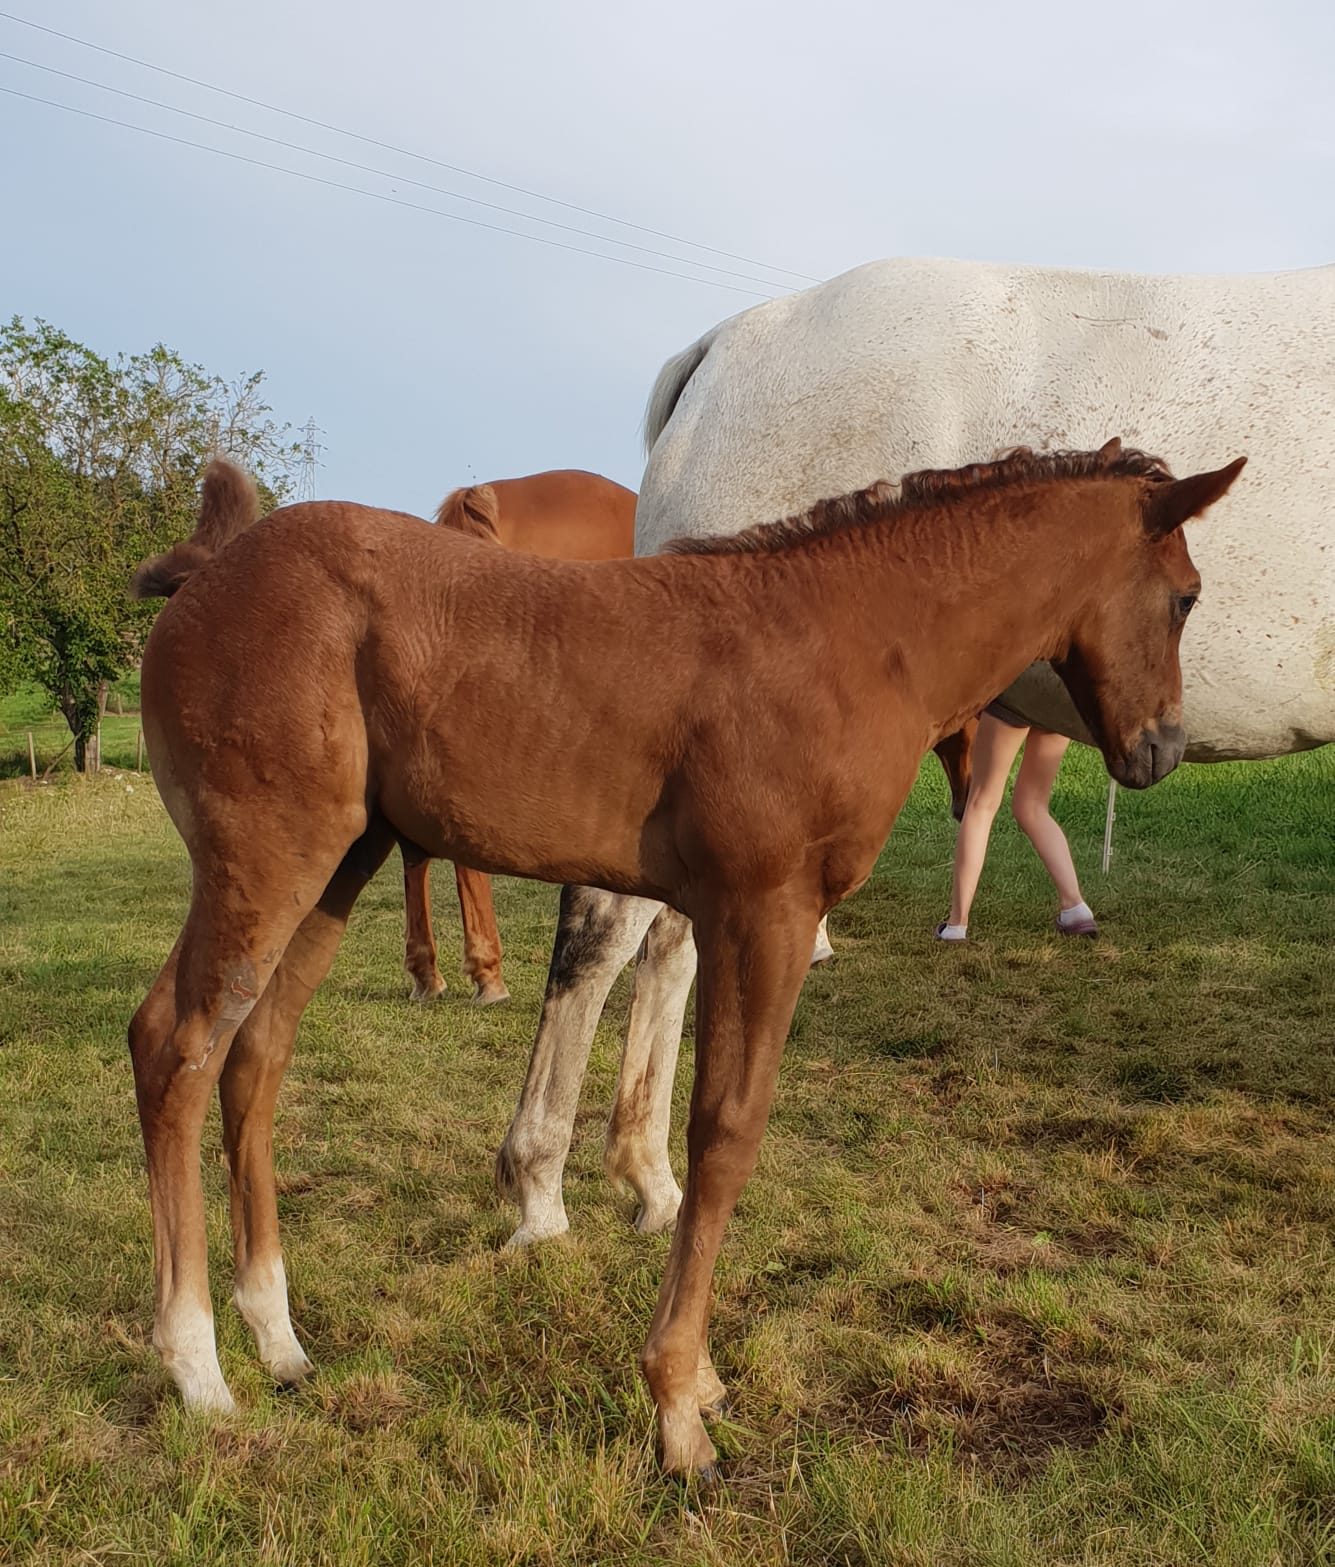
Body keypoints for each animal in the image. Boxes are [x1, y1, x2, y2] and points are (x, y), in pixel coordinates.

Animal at [125, 438, 1240, 1466]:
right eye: (1186, 597)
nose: (1161, 749)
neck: (856, 636)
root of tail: (212, 571)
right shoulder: (766, 911)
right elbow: (725, 1132)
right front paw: (676, 1405)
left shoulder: (717, 912)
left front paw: (694, 1379)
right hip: (269, 859)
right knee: (173, 1045)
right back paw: (197, 1368)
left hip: (336, 865)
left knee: (256, 1055)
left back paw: (277, 1339)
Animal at [492, 250, 1335, 1241]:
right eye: (1184, 599)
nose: (1159, 746)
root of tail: (727, 343)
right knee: (604, 931)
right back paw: (541, 1188)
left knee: (668, 943)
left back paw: (649, 1180)